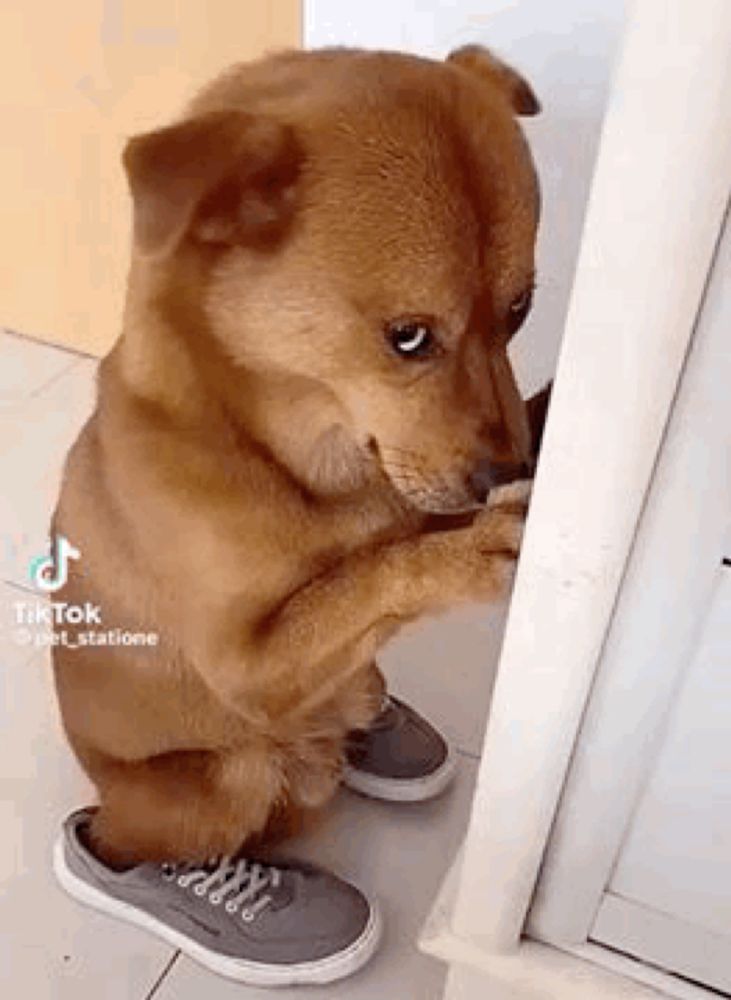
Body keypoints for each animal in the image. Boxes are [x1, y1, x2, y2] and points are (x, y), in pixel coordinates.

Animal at [51, 45, 540, 868]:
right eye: (408, 336)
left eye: (520, 311)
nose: (505, 475)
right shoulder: (249, 669)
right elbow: (365, 581)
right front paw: (468, 555)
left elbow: (368, 563)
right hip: (228, 774)